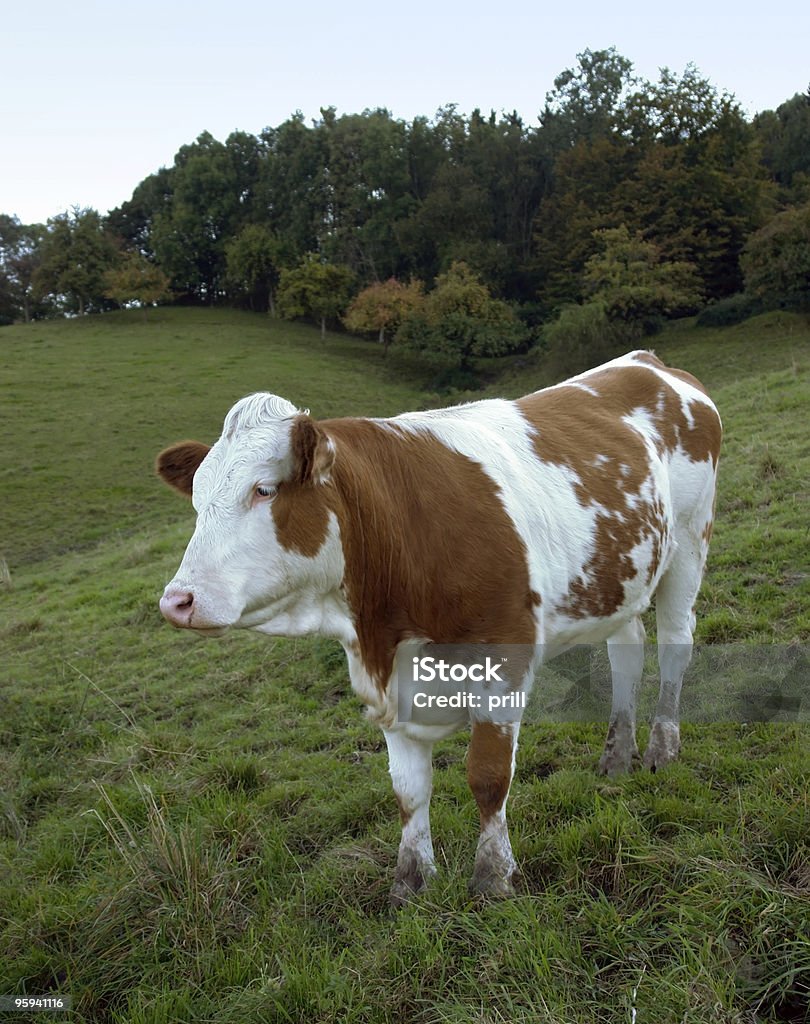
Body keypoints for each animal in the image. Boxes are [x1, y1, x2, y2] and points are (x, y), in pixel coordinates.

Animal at [156, 350, 720, 905]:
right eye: (197, 501)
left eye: (264, 489)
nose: (177, 601)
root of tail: (649, 361)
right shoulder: (388, 680)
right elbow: (408, 789)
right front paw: (411, 883)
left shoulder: (503, 659)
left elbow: (488, 775)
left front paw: (493, 878)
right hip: (622, 578)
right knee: (627, 652)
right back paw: (617, 757)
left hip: (690, 542)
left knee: (674, 645)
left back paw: (661, 749)